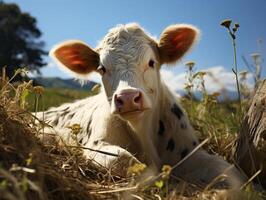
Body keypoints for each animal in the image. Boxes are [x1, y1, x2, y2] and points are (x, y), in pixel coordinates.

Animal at [37, 23, 243, 188]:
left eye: (151, 62)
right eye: (102, 68)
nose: (127, 97)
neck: (143, 132)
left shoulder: (189, 151)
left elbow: (227, 170)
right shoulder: (97, 145)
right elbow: (127, 161)